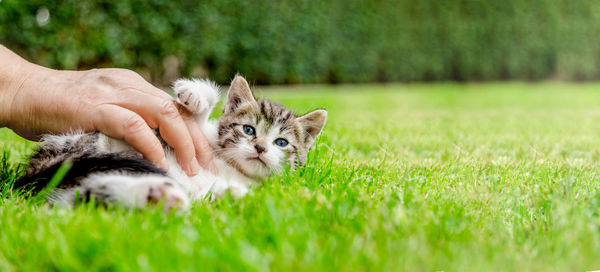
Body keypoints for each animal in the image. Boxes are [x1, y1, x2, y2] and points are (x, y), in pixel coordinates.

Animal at [16, 76, 328, 210]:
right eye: (249, 130)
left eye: (282, 143)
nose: (261, 147)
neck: (231, 167)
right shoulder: (197, 138)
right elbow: (195, 122)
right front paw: (196, 94)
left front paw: (229, 194)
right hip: (90, 146)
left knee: (82, 195)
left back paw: (158, 196)